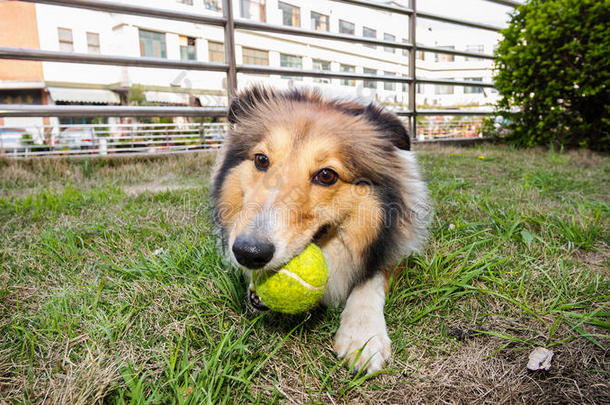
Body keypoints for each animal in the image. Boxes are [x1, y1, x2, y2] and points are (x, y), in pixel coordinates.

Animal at [211, 85, 430, 372]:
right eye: (261, 160)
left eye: (326, 175)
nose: (249, 252)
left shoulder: (395, 249)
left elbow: (369, 279)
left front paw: (363, 336)